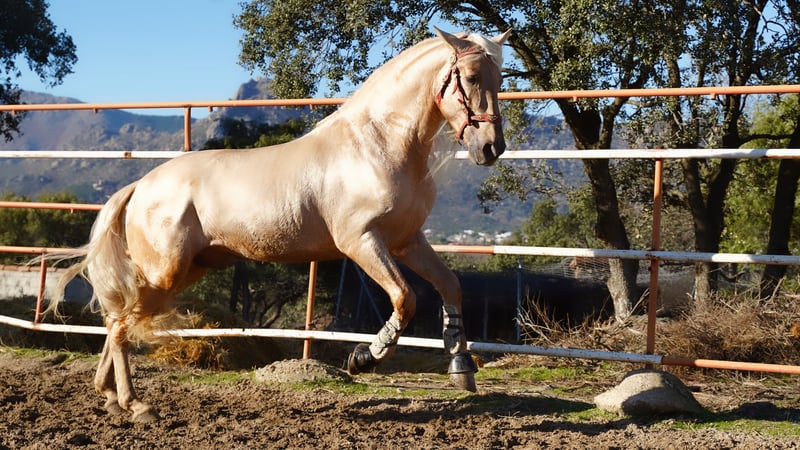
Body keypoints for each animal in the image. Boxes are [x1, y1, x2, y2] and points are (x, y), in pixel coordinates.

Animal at [49, 27, 511, 422]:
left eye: (500, 76)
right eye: (471, 76)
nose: (491, 148)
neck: (377, 145)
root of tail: (141, 186)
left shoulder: (407, 241)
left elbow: (450, 285)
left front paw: (462, 368)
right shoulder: (361, 243)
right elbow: (405, 298)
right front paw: (363, 358)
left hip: (188, 269)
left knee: (117, 321)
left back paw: (110, 397)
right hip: (165, 273)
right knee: (121, 325)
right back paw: (136, 404)